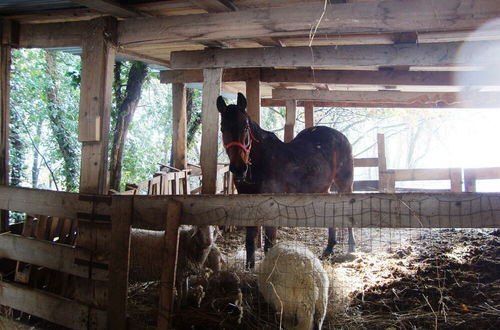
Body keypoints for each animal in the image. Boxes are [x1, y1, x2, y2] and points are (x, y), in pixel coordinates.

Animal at [217, 92, 354, 268]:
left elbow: (269, 244)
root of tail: (341, 136)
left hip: (344, 184)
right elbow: (249, 241)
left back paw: (351, 247)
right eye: (222, 128)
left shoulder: (271, 206)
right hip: (324, 188)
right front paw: (249, 268)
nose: (239, 168)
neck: (260, 164)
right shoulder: (249, 204)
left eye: (245, 127)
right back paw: (328, 249)